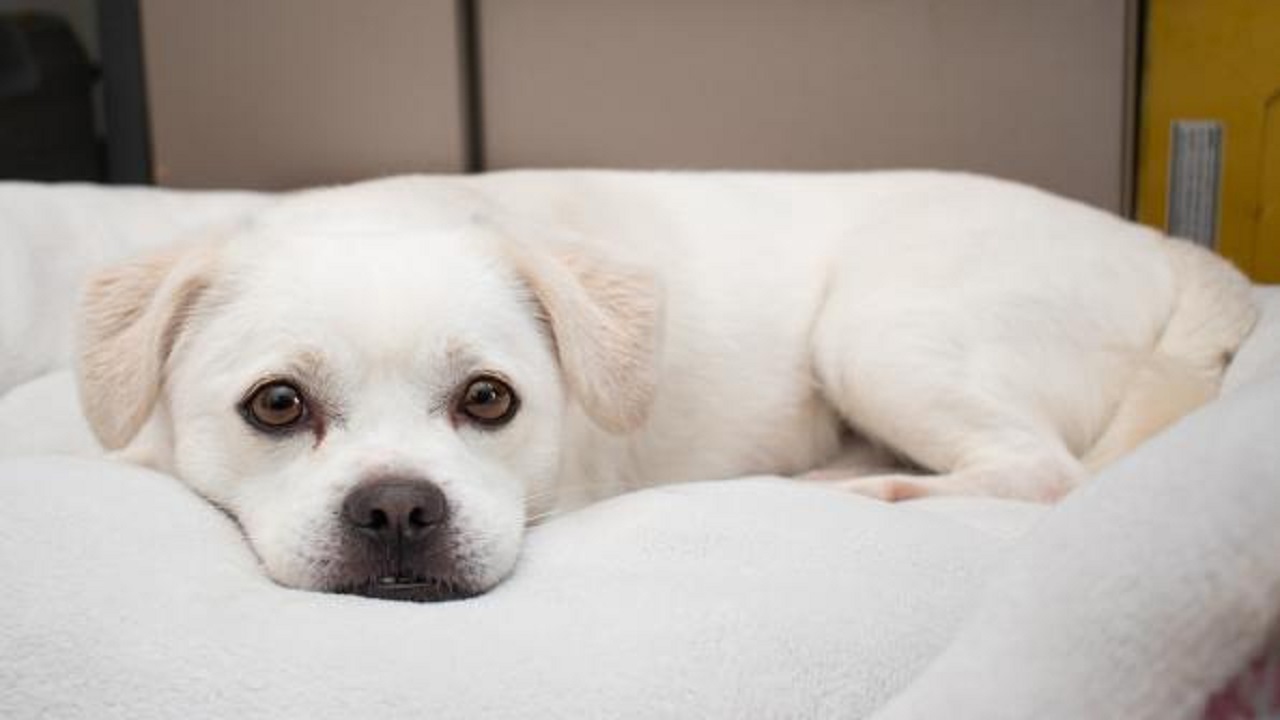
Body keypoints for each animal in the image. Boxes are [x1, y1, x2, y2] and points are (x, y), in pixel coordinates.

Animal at [74, 172, 1254, 599]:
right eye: (277, 406)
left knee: (1041, 473)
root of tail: (1171, 250)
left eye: (489, 399)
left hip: (882, 331)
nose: (400, 509)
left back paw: (868, 489)